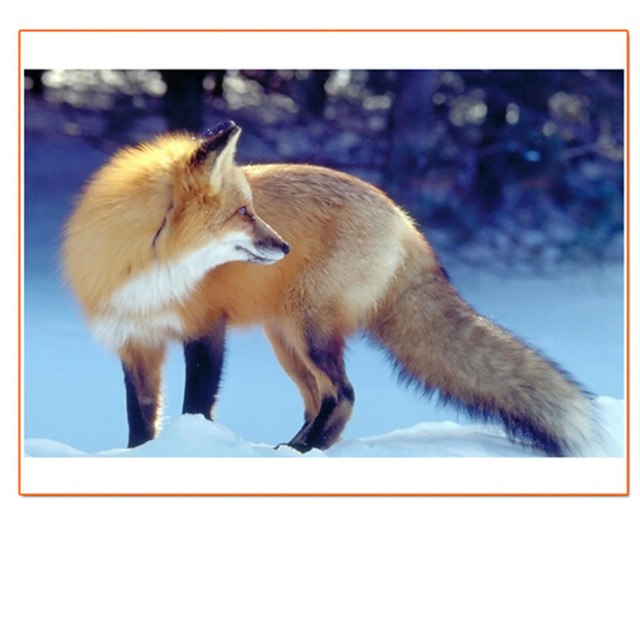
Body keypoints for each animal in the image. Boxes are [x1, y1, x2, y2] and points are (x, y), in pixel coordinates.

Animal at [62, 120, 597, 455]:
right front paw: (140, 455)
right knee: (318, 398)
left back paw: (304, 450)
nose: (284, 245)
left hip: (309, 330)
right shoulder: (135, 341)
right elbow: (139, 418)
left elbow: (196, 406)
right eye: (244, 213)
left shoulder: (206, 329)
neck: (149, 271)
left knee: (343, 395)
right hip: (287, 339)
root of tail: (404, 219)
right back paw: (298, 447)